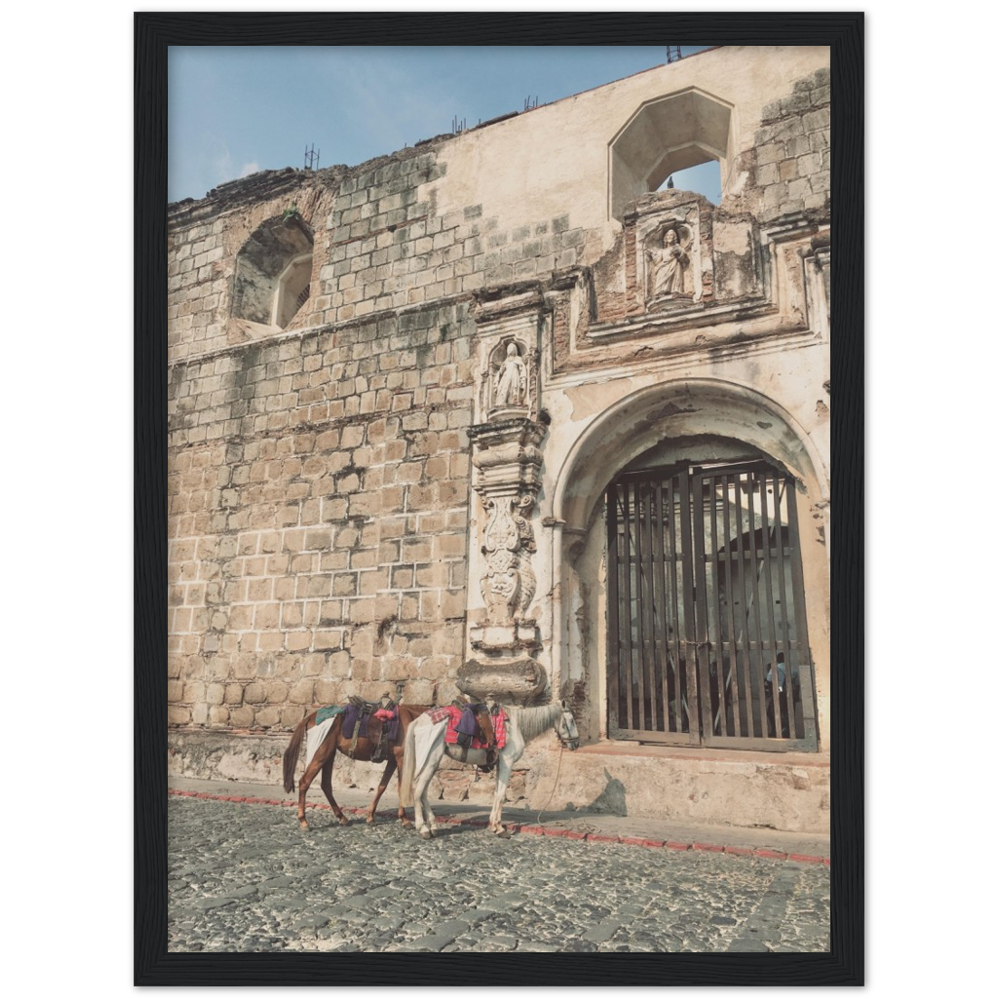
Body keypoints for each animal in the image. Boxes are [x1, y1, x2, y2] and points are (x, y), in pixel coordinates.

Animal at [282, 708, 430, 832]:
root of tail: (310, 717)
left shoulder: (392, 761)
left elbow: (382, 786)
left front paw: (370, 817)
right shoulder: (401, 759)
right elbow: (401, 787)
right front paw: (405, 820)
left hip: (329, 754)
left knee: (326, 785)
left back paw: (342, 818)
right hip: (321, 755)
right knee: (304, 782)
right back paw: (304, 821)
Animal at [402, 700, 584, 840]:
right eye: (571, 720)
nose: (576, 744)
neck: (516, 725)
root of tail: (418, 721)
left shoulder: (499, 765)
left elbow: (497, 794)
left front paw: (494, 825)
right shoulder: (507, 763)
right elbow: (502, 796)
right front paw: (500, 829)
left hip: (432, 762)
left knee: (423, 792)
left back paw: (433, 826)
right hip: (429, 760)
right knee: (417, 790)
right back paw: (423, 829)